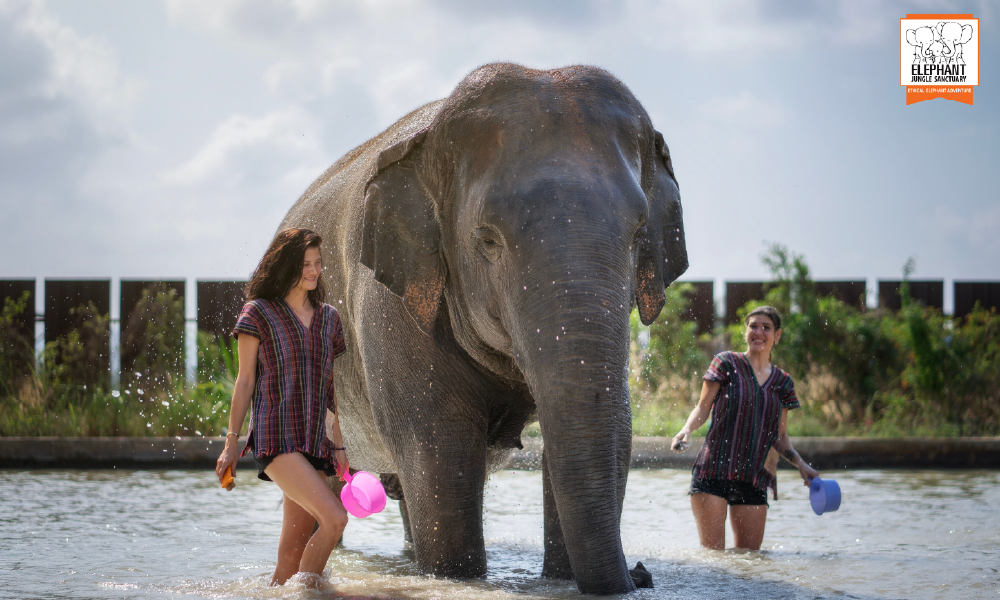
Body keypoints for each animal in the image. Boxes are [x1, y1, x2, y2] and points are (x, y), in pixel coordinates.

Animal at [279, 63, 687, 595]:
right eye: (487, 239)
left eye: (640, 234)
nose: (641, 573)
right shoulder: (391, 307)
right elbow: (439, 452)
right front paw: (456, 577)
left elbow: (612, 432)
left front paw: (562, 578)